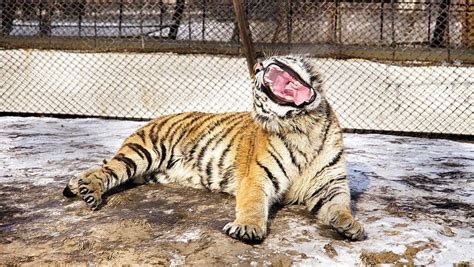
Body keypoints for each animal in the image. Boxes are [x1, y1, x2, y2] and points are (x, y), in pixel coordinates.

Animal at [62, 55, 366, 243]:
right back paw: (89, 190)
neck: (305, 124)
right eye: (256, 73)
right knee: (108, 170)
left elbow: (340, 206)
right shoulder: (257, 178)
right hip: (141, 153)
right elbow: (252, 205)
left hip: (146, 172)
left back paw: (79, 185)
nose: (258, 64)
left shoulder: (331, 184)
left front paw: (350, 225)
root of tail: (155, 118)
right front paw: (247, 228)